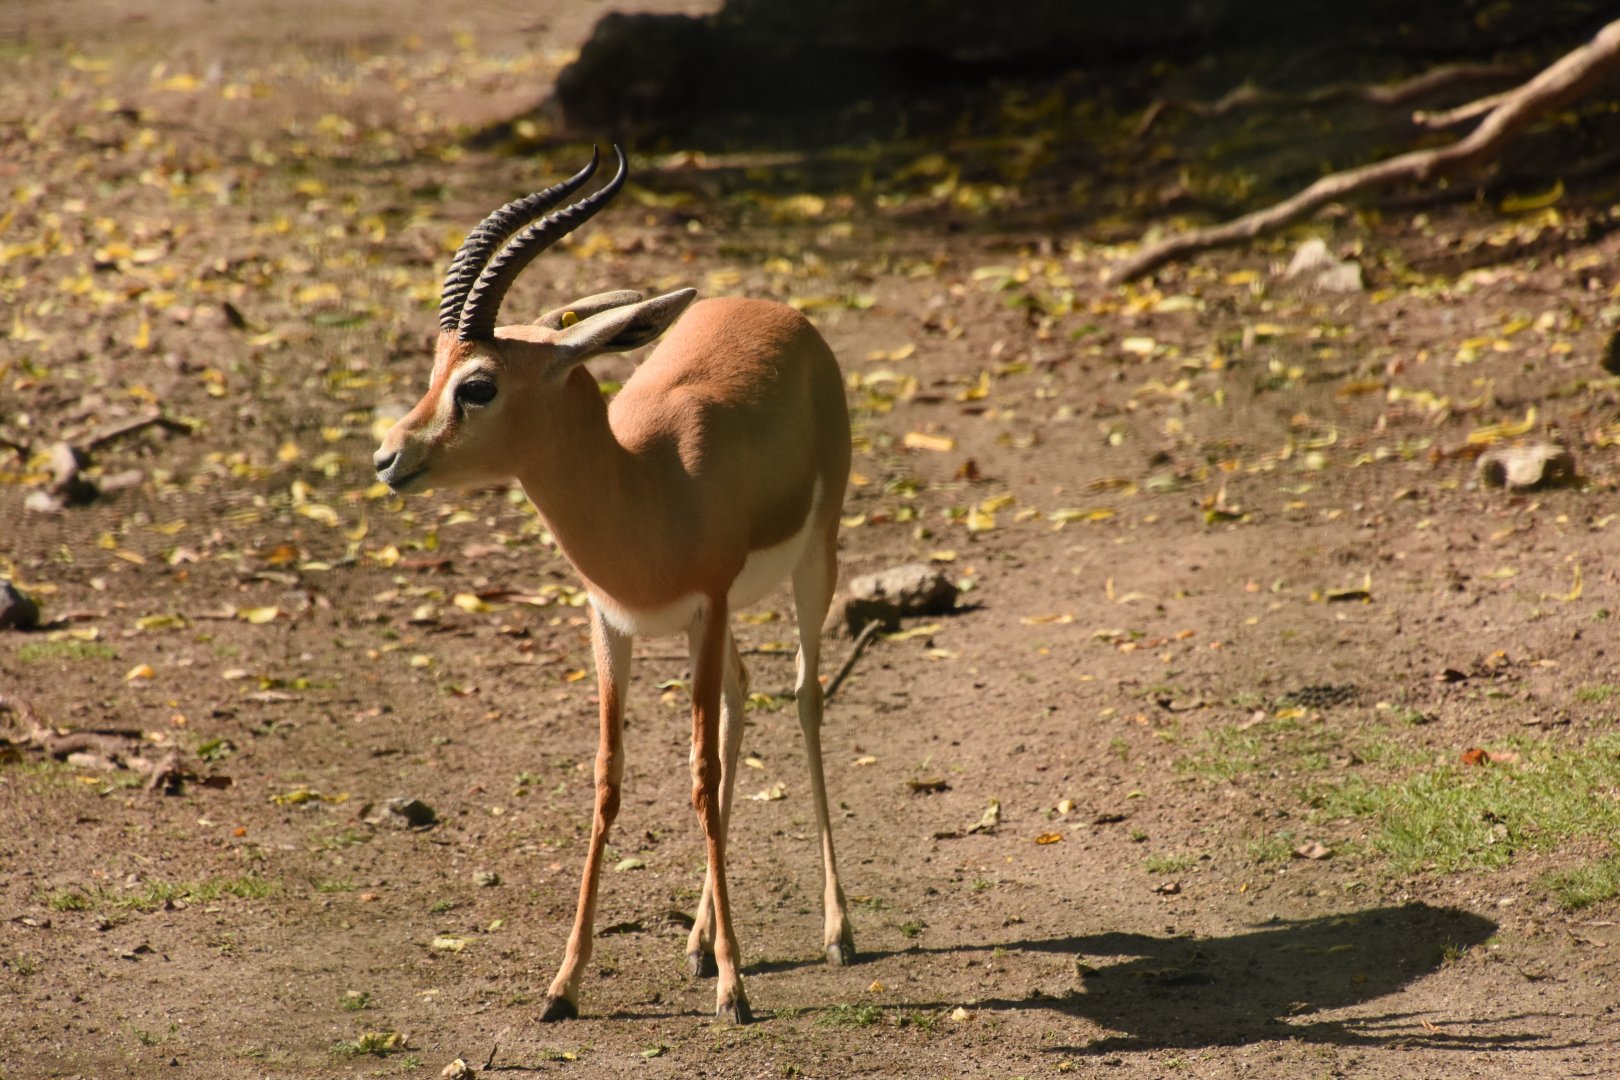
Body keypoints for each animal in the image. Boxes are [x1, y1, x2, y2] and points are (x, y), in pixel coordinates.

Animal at [373, 146, 856, 1024]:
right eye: (433, 371)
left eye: (478, 384)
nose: (390, 458)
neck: (649, 485)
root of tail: (780, 313)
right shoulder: (611, 623)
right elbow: (608, 779)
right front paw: (563, 984)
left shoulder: (707, 605)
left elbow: (699, 775)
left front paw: (735, 989)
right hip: (717, 626)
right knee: (742, 695)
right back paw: (698, 942)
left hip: (813, 564)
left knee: (804, 696)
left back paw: (836, 932)